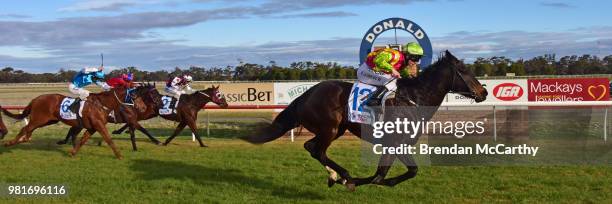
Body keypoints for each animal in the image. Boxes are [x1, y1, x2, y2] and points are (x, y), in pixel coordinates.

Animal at [0, 85, 145, 159]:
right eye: (134, 95)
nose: (143, 108)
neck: (101, 104)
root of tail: (36, 99)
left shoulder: (92, 127)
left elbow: (83, 140)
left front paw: (72, 152)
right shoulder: (98, 125)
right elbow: (109, 139)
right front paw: (119, 155)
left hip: (48, 121)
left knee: (28, 130)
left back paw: (21, 140)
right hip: (39, 119)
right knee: (25, 129)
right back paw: (9, 143)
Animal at [58, 85, 227, 147]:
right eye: (219, 94)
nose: (225, 104)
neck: (191, 102)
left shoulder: (185, 120)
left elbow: (176, 132)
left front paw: (165, 142)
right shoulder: (189, 119)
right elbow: (195, 131)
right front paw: (203, 144)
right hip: (145, 114)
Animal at [243, 51, 488, 191]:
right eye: (464, 70)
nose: (484, 92)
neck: (415, 99)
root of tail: (308, 93)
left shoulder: (394, 145)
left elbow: (389, 174)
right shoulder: (395, 143)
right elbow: (388, 176)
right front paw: (351, 182)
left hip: (337, 129)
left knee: (311, 147)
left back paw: (334, 175)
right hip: (329, 128)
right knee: (317, 150)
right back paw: (342, 175)